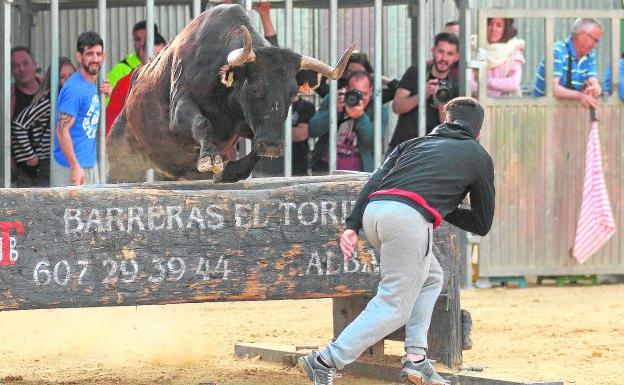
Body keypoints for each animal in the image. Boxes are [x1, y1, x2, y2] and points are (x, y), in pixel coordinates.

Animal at [107, 3, 356, 182]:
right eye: (254, 88)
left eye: (293, 94)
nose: (273, 146)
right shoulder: (179, 110)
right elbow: (202, 123)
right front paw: (209, 157)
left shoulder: (247, 128)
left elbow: (254, 149)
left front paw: (230, 171)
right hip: (121, 163)